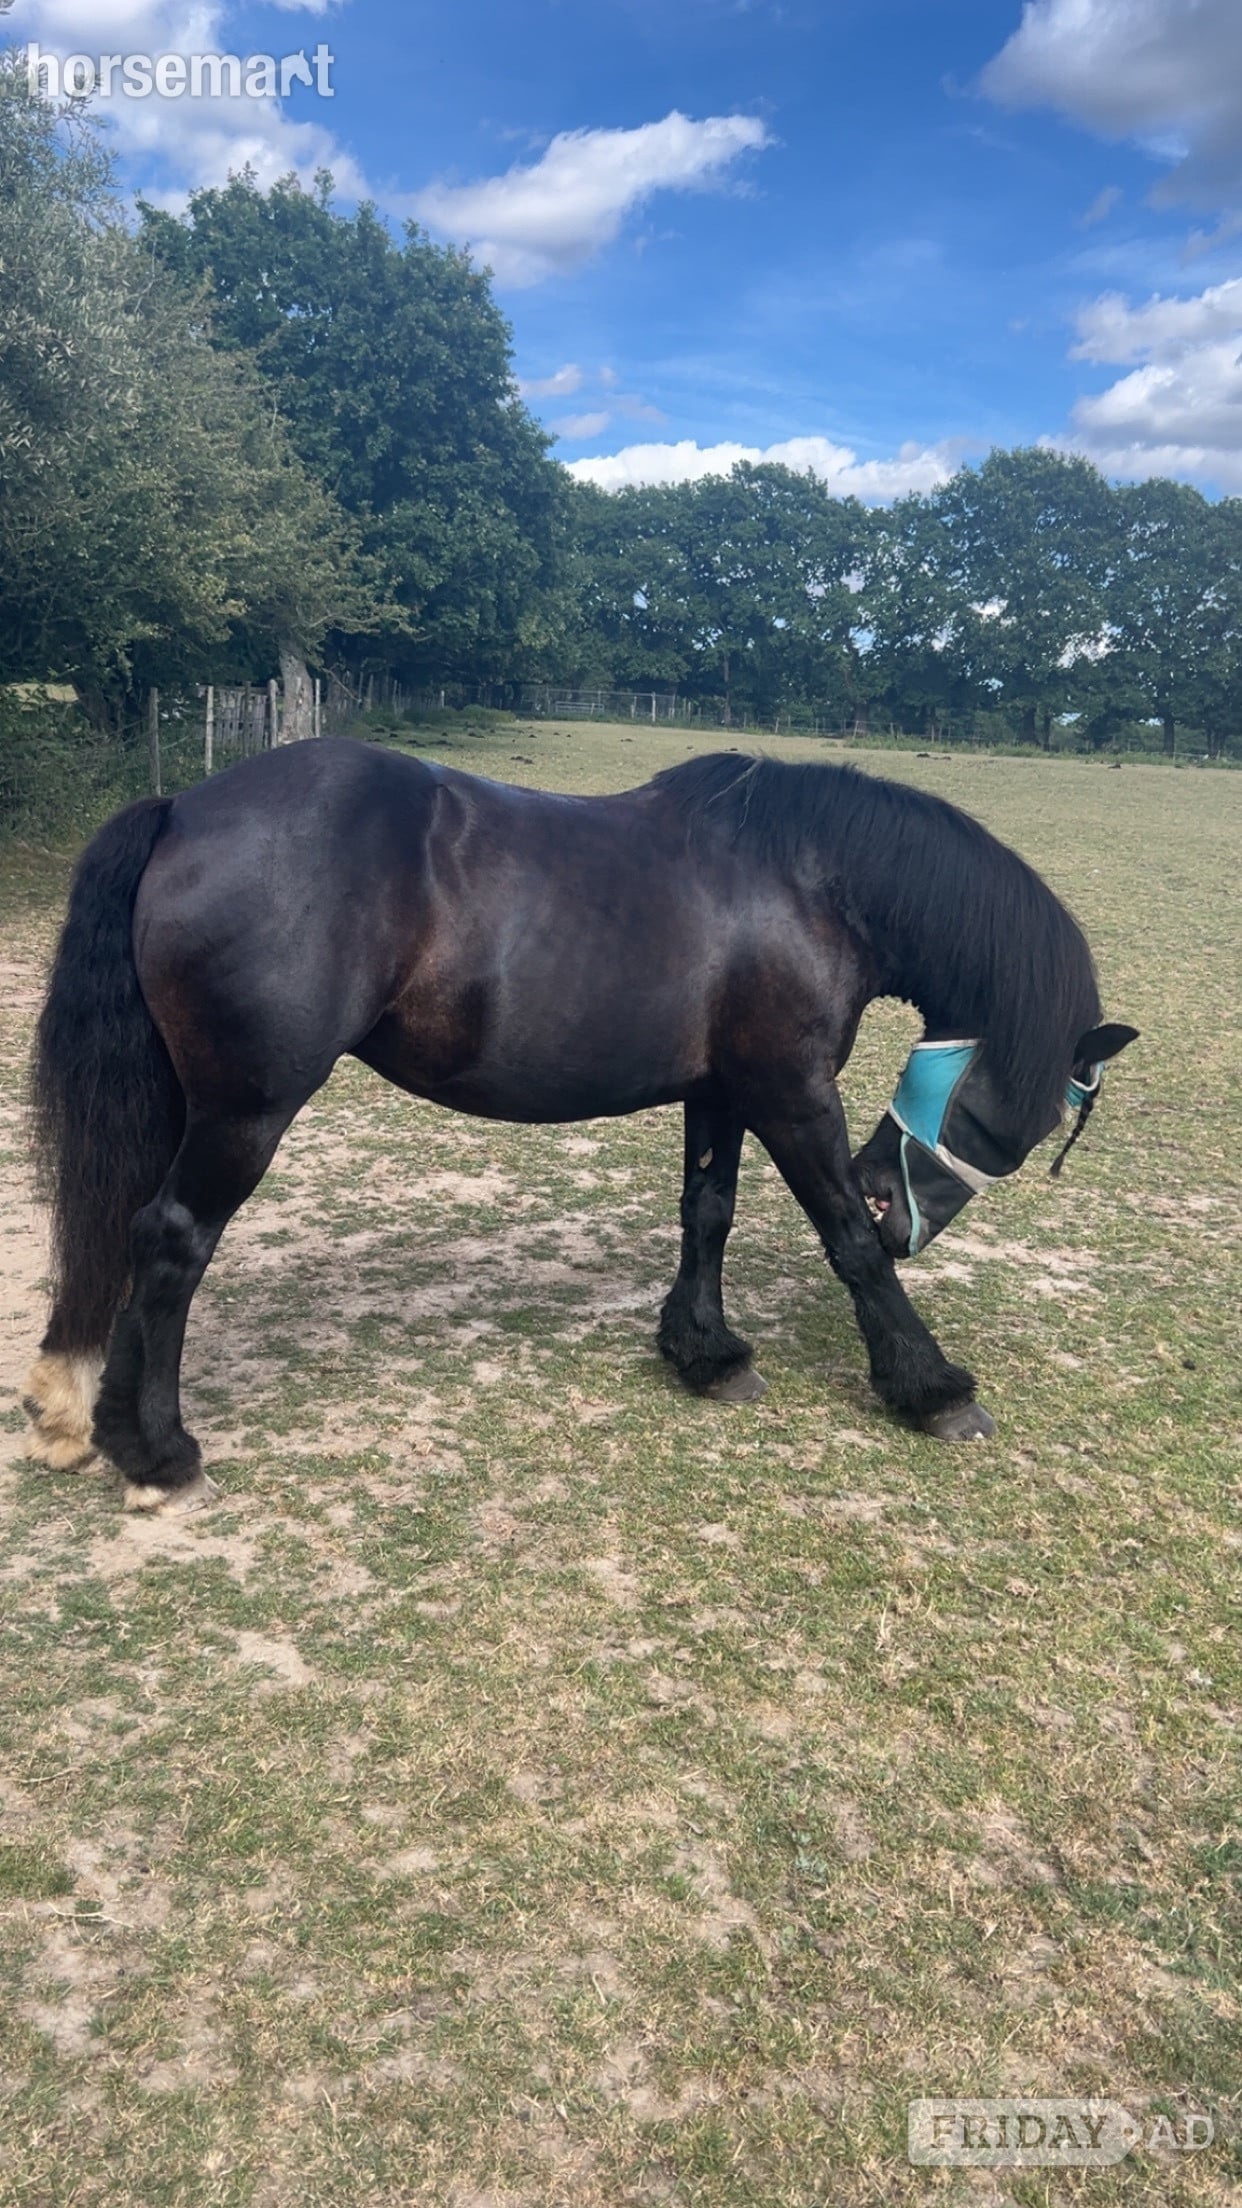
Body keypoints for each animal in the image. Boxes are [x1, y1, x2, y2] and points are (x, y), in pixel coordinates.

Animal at [24, 740, 1137, 1511]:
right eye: (1022, 1119)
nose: (893, 1205)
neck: (806, 881)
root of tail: (183, 808)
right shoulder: (791, 1091)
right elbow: (845, 1247)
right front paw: (931, 1386)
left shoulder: (722, 1092)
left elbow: (708, 1214)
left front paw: (706, 1354)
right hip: (246, 1112)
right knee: (172, 1242)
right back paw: (160, 1453)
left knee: (127, 1230)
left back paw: (90, 1417)